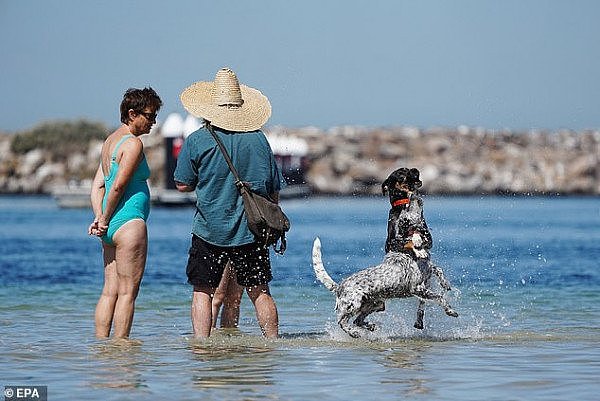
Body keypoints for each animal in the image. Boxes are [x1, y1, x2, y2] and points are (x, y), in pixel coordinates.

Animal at [312, 166, 458, 338]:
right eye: (402, 174)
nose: (416, 195)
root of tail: (340, 286)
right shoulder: (417, 288)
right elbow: (439, 297)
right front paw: (450, 310)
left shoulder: (427, 275)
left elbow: (438, 272)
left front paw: (445, 284)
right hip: (353, 304)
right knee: (342, 321)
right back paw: (353, 333)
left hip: (376, 303)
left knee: (358, 320)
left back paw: (369, 326)